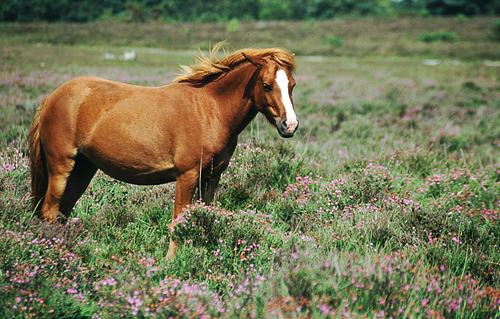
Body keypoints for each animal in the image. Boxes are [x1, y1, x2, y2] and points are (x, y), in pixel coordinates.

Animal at [29, 44, 298, 260]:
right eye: (266, 85)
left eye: (292, 86)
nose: (290, 125)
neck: (209, 110)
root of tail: (52, 98)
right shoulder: (187, 176)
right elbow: (179, 218)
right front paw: (171, 260)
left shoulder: (211, 177)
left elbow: (204, 218)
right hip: (62, 166)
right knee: (50, 210)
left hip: (83, 169)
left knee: (62, 209)